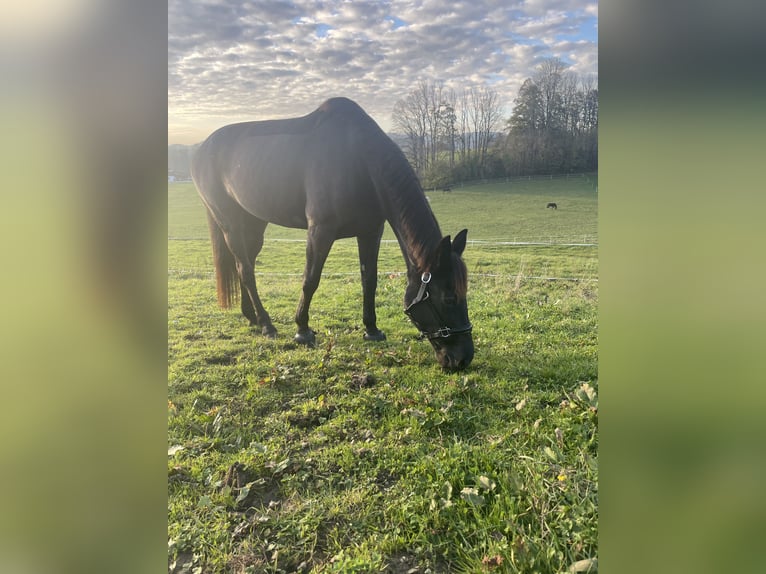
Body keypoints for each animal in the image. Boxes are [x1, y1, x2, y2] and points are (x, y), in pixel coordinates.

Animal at [192, 97, 474, 372]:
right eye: (449, 298)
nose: (463, 359)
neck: (359, 159)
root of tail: (202, 150)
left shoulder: (371, 231)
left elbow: (369, 280)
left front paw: (371, 329)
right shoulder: (320, 231)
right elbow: (310, 280)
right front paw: (303, 331)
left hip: (253, 226)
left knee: (244, 265)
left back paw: (251, 316)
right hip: (230, 225)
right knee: (246, 270)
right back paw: (266, 324)